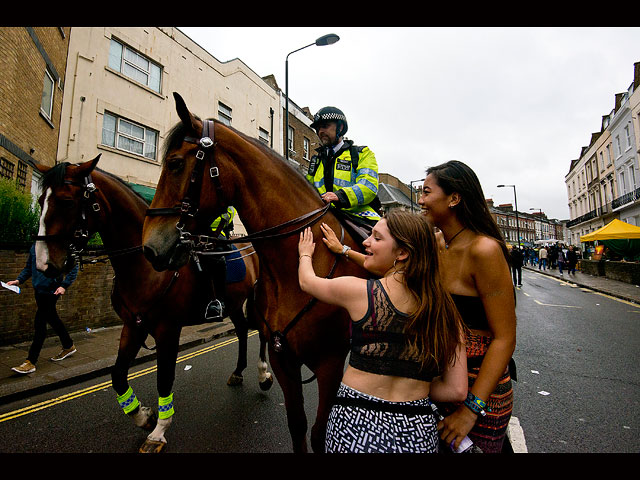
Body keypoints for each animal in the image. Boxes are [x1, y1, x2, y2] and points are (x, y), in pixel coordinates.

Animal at [35, 158, 270, 454]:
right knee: (241, 331)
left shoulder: (167, 330)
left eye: (66, 201)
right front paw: (143, 416)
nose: (43, 263)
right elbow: (117, 375)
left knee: (261, 332)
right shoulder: (133, 326)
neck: (145, 266)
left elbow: (164, 378)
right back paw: (238, 372)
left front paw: (158, 431)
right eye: (40, 200)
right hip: (234, 303)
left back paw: (263, 375)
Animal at [142, 93, 368, 450]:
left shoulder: (330, 362)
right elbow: (297, 425)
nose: (150, 247)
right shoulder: (284, 359)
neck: (297, 267)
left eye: (176, 164)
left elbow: (320, 432)